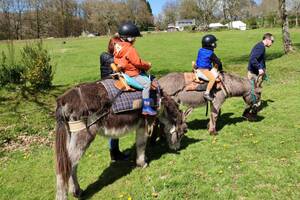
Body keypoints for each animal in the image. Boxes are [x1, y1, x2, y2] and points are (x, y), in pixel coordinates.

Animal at [54, 81, 190, 200]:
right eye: (184, 131)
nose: (177, 148)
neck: (159, 100)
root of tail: (63, 100)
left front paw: (143, 159)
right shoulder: (143, 125)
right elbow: (141, 144)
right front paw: (142, 163)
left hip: (71, 135)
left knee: (69, 164)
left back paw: (76, 191)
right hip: (83, 134)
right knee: (67, 166)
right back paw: (66, 195)